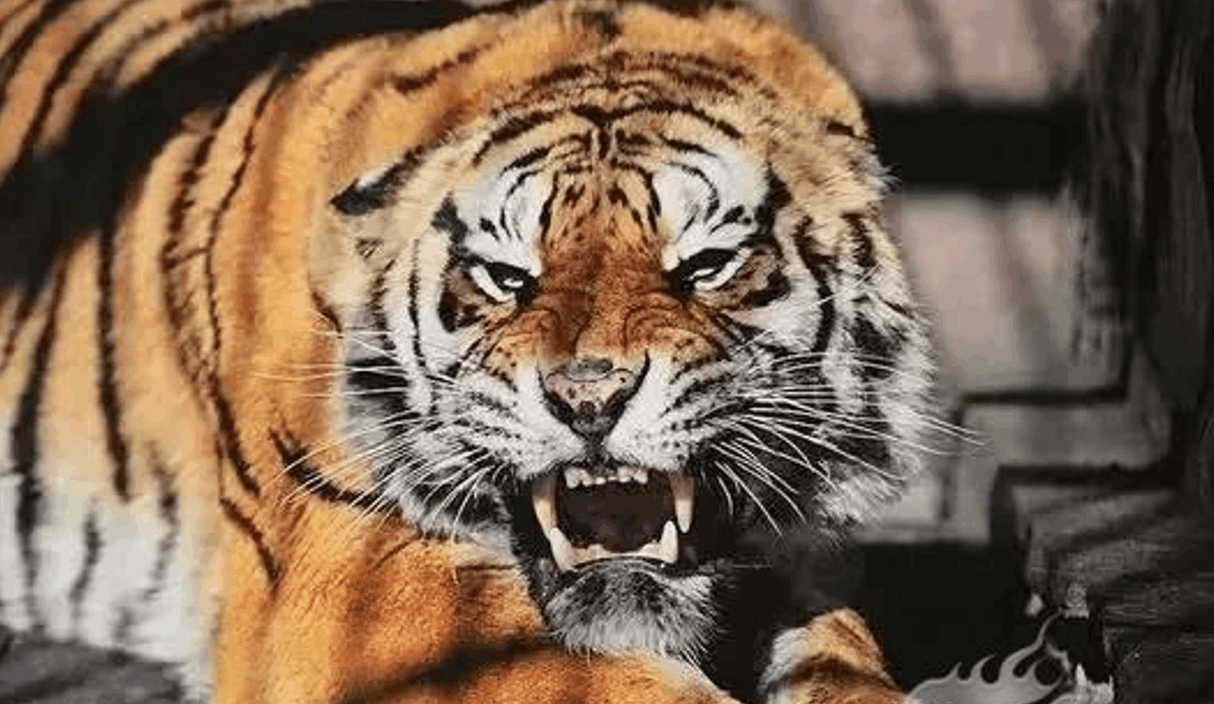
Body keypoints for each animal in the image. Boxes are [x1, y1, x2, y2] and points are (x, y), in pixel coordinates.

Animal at [0, 0, 937, 701]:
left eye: (705, 266)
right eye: (505, 276)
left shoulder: (804, 556)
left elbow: (844, 661)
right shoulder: (348, 574)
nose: (589, 398)